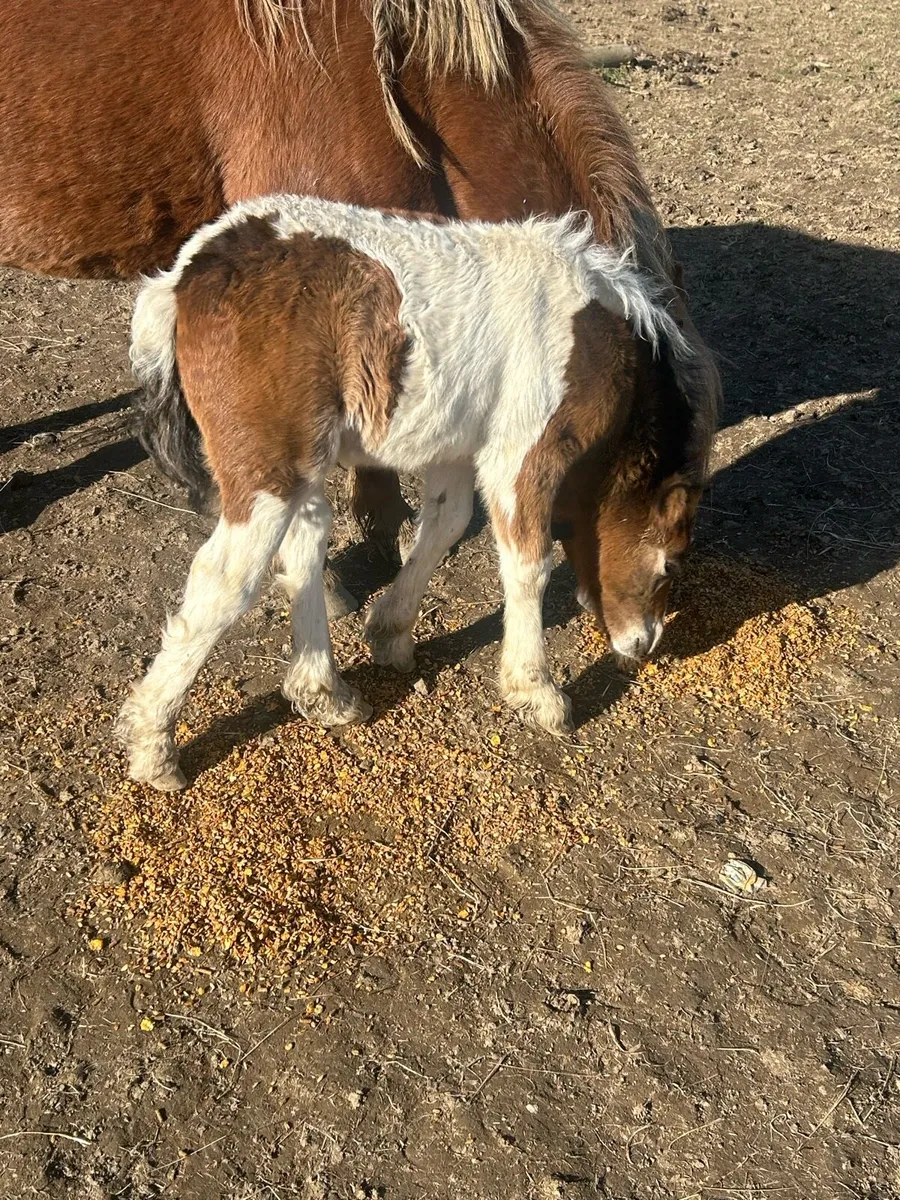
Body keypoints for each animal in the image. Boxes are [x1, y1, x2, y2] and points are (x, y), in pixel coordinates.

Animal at [116, 195, 718, 791]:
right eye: (671, 564)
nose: (643, 645)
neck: (586, 332)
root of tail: (186, 276)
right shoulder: (522, 453)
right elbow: (528, 563)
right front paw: (536, 692)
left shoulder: (457, 448)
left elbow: (444, 525)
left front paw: (390, 632)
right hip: (266, 471)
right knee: (226, 579)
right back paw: (153, 744)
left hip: (301, 464)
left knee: (305, 544)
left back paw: (324, 695)